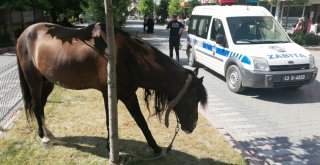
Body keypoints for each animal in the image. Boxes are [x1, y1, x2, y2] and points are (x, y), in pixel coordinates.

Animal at [16, 22, 209, 155]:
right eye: (192, 99)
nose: (192, 126)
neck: (128, 56)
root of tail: (24, 34)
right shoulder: (109, 94)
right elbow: (110, 121)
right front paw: (110, 148)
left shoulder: (129, 94)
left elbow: (141, 121)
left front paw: (155, 148)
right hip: (34, 81)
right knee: (37, 106)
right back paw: (44, 137)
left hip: (48, 82)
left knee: (40, 106)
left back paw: (48, 133)